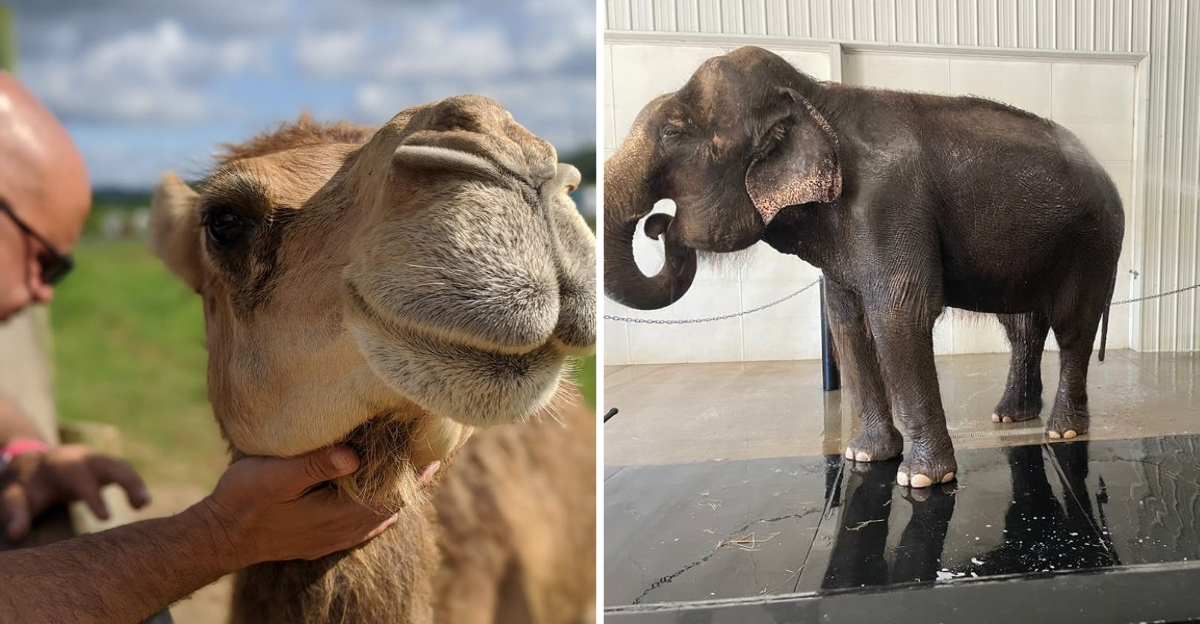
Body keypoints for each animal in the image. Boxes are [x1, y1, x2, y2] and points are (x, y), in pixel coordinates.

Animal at [604, 46, 1124, 488]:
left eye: (673, 134)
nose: (659, 225)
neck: (815, 96)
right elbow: (846, 321)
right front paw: (865, 456)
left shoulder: (887, 205)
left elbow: (898, 314)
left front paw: (921, 480)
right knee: (1023, 326)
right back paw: (1011, 417)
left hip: (1094, 242)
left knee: (1072, 327)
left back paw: (1062, 433)